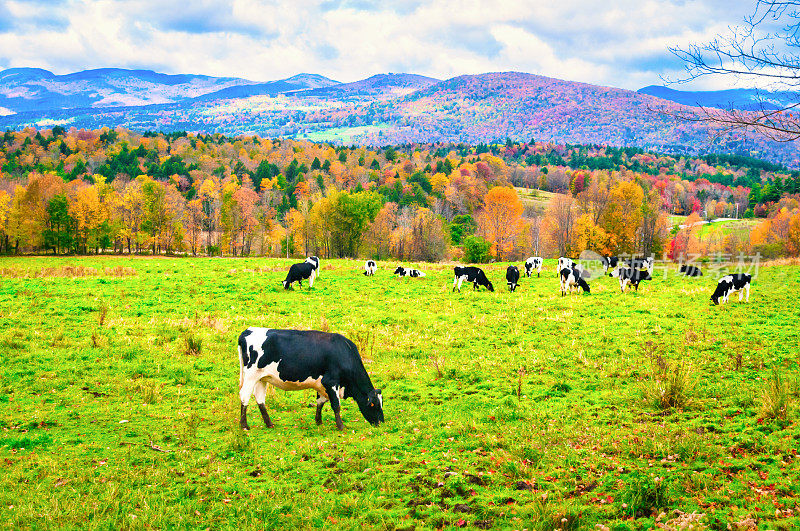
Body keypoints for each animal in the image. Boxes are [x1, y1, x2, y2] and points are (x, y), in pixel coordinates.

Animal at [238, 328, 384, 432]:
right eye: (373, 404)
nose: (381, 423)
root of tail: (247, 331)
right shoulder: (331, 381)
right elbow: (336, 405)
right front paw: (341, 426)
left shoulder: (321, 384)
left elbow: (320, 402)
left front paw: (319, 422)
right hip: (251, 375)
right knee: (244, 396)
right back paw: (244, 425)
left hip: (262, 377)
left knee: (260, 399)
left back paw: (269, 424)